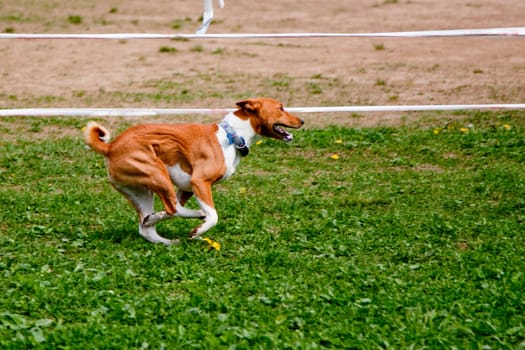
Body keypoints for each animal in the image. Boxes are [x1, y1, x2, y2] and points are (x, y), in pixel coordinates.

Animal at [84, 97, 304, 245]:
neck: (232, 136)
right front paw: (198, 230)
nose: (301, 121)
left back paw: (165, 236)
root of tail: (110, 147)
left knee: (148, 225)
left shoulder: (186, 188)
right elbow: (213, 216)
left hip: (141, 191)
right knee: (173, 209)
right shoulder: (199, 182)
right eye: (281, 108)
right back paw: (195, 216)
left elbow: (167, 212)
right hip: (158, 174)